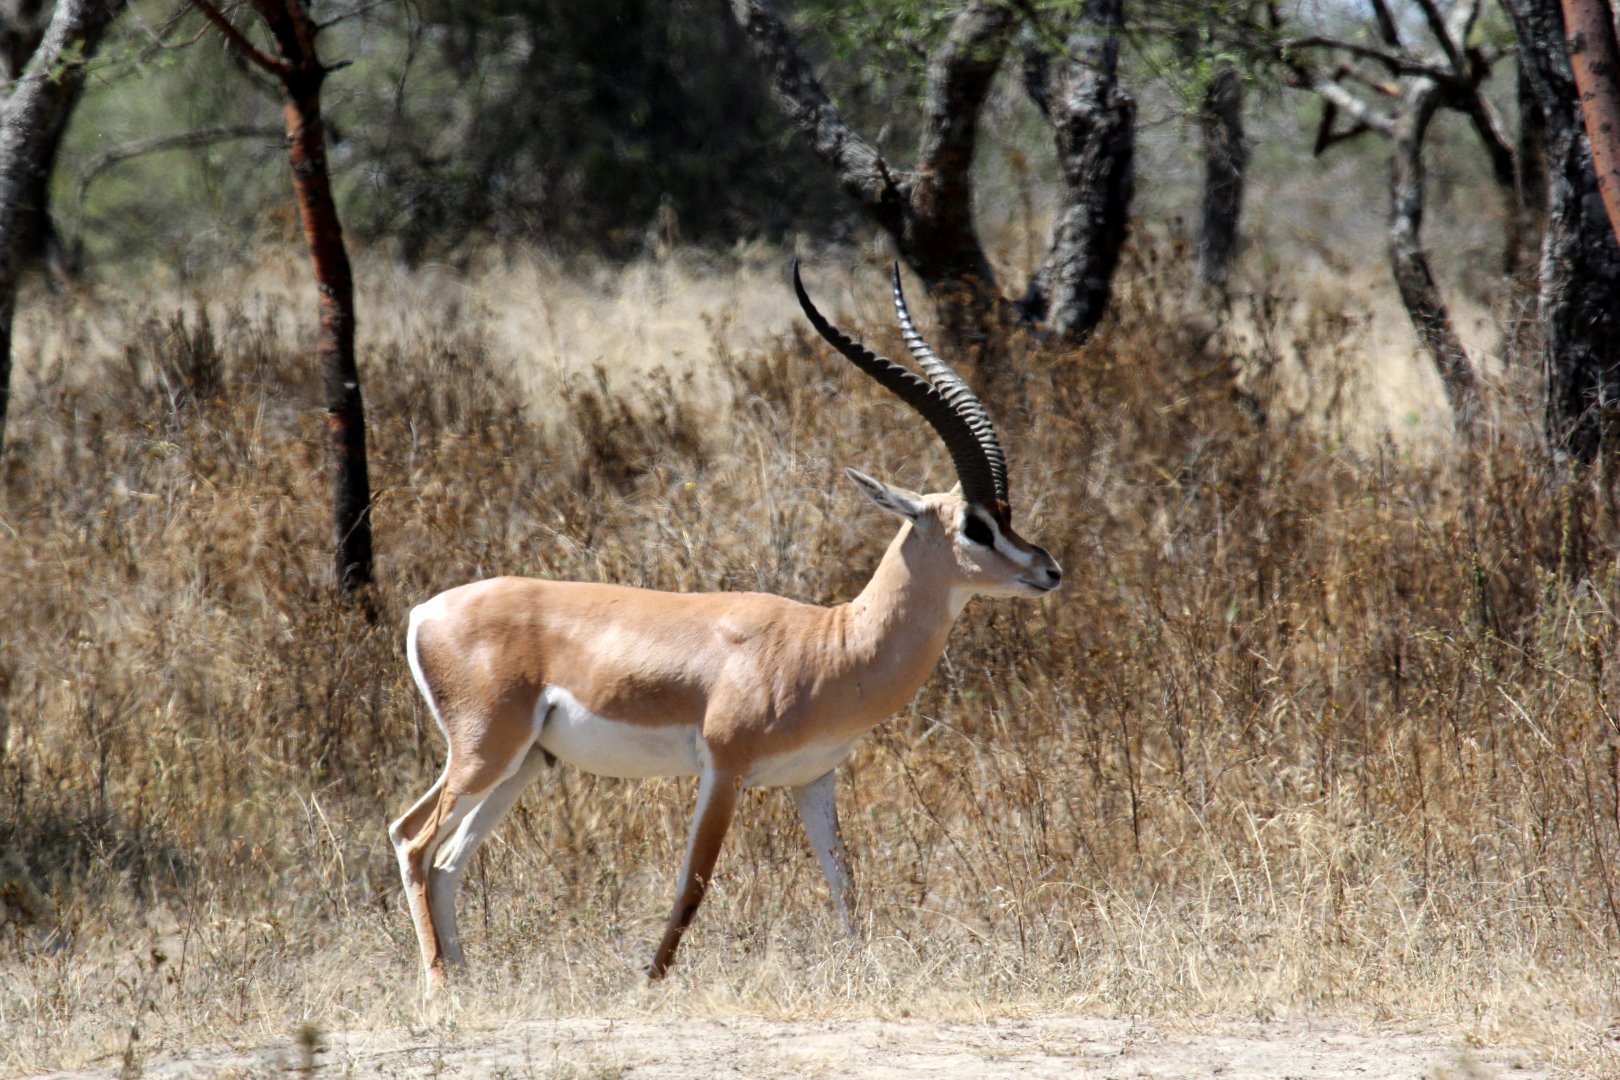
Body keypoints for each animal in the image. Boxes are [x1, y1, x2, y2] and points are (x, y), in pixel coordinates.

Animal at [389, 263, 1062, 992]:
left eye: (1008, 512)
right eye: (975, 525)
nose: (1048, 569)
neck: (830, 646)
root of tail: (425, 612)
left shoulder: (814, 780)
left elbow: (844, 885)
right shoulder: (724, 767)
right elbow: (693, 884)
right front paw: (648, 985)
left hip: (523, 764)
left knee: (448, 860)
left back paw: (464, 982)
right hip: (483, 751)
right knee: (413, 839)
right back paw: (439, 986)